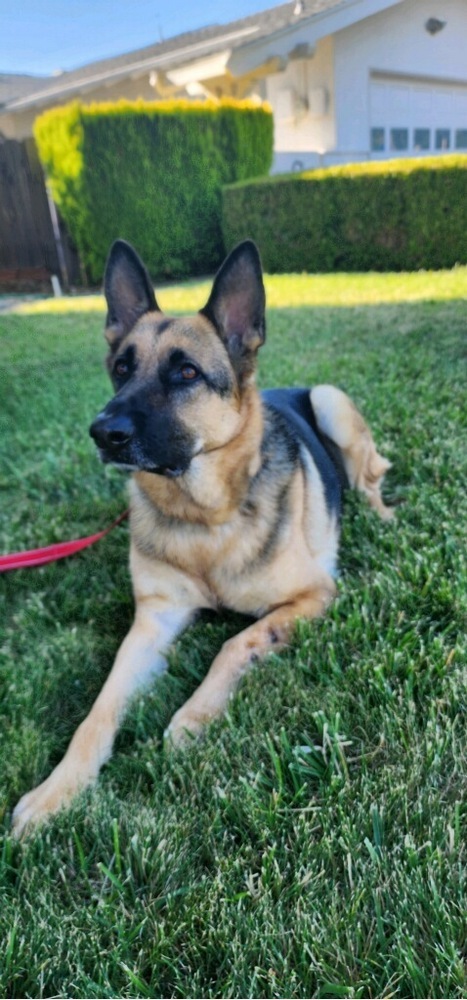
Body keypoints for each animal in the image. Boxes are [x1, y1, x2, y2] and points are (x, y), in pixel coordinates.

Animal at [12, 238, 394, 832]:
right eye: (122, 368)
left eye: (186, 373)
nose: (102, 432)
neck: (204, 520)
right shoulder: (152, 623)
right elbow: (98, 710)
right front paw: (58, 790)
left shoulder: (314, 595)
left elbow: (236, 643)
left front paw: (193, 716)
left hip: (331, 402)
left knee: (372, 480)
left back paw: (382, 516)